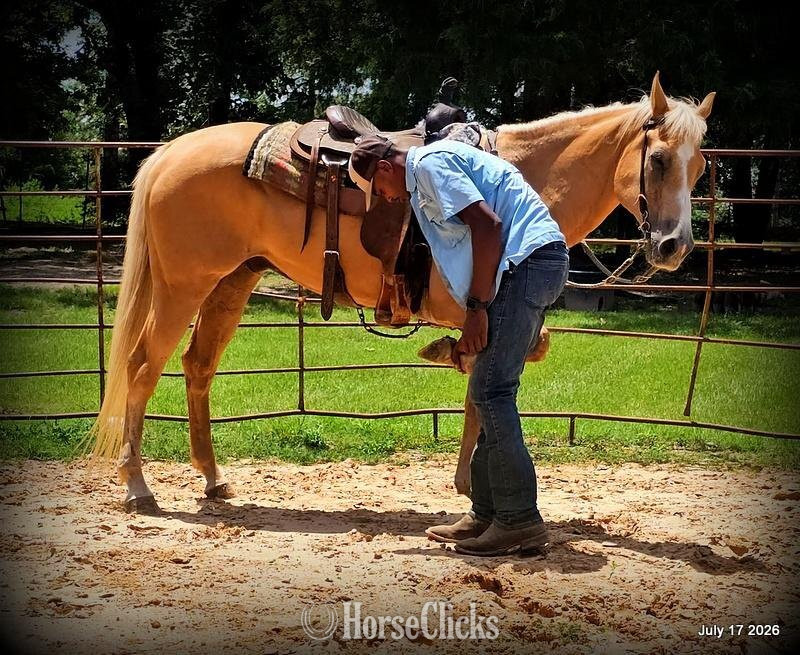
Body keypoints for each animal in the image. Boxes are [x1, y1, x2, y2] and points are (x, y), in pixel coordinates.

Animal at [88, 72, 715, 512]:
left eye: (702, 166)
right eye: (660, 160)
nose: (673, 246)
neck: (518, 177)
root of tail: (170, 152)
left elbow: (486, 385)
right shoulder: (485, 314)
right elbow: (482, 392)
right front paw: (470, 485)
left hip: (231, 281)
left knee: (197, 366)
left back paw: (213, 480)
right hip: (181, 287)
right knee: (141, 365)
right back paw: (138, 487)